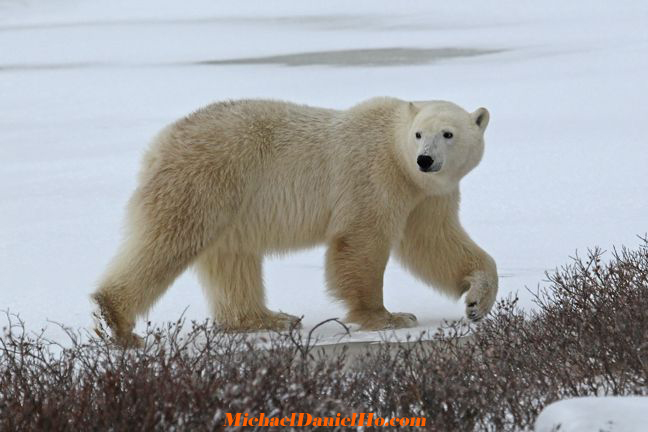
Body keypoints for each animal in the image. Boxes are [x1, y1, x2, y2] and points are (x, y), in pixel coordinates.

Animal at [91, 96, 496, 346]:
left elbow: (435, 243)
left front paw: (477, 301)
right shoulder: (375, 176)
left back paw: (269, 318)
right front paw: (389, 317)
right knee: (169, 240)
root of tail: (159, 144)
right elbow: (362, 241)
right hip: (205, 178)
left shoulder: (427, 197)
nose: (425, 159)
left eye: (448, 133)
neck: (398, 156)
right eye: (419, 134)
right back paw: (117, 319)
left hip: (228, 200)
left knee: (232, 260)